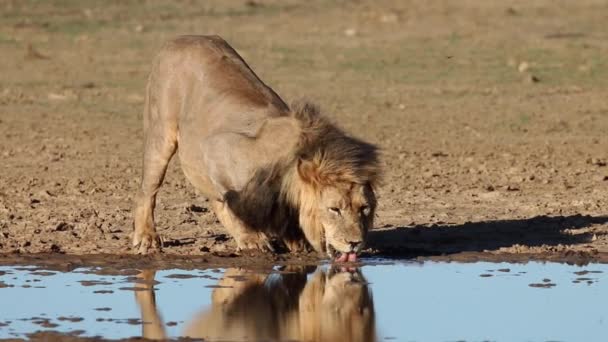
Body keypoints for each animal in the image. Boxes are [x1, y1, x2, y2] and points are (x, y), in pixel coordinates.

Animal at [134, 35, 380, 262]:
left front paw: (297, 241)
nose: (355, 243)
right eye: (334, 209)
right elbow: (231, 206)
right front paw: (254, 241)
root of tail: (182, 38)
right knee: (149, 190)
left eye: (364, 208)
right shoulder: (217, 150)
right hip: (160, 134)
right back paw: (146, 238)